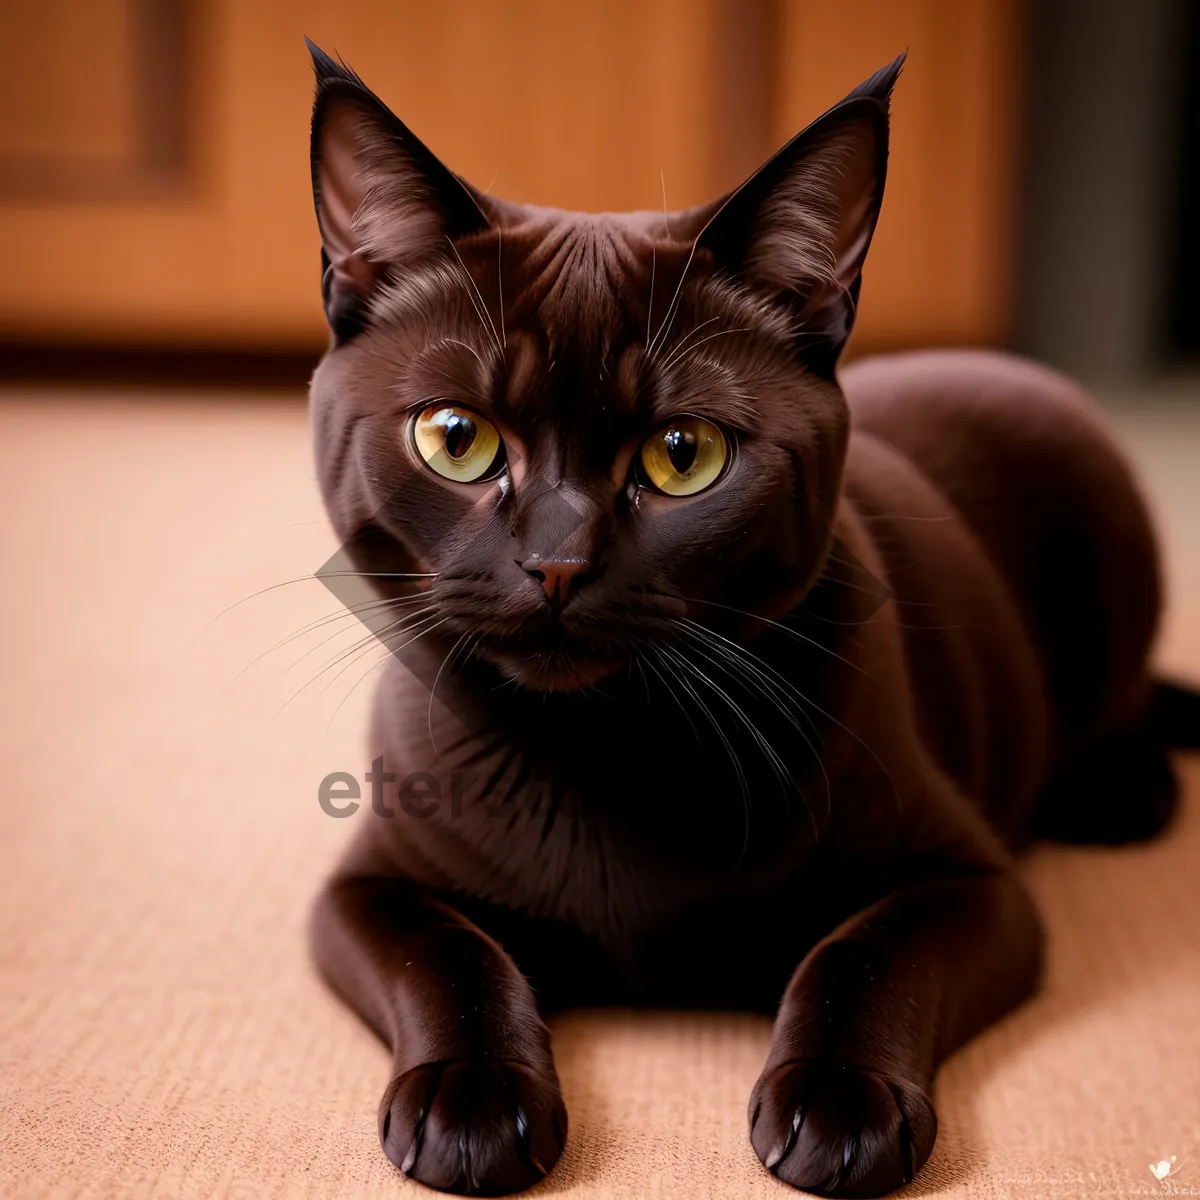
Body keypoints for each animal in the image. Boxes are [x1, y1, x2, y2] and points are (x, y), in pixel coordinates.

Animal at [304, 42, 1195, 1195]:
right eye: (457, 438)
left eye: (684, 455)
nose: (557, 562)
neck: (602, 752)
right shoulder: (366, 886)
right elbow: (447, 954)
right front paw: (472, 1097)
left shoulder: (972, 882)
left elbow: (861, 952)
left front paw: (839, 1102)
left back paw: (1124, 788)